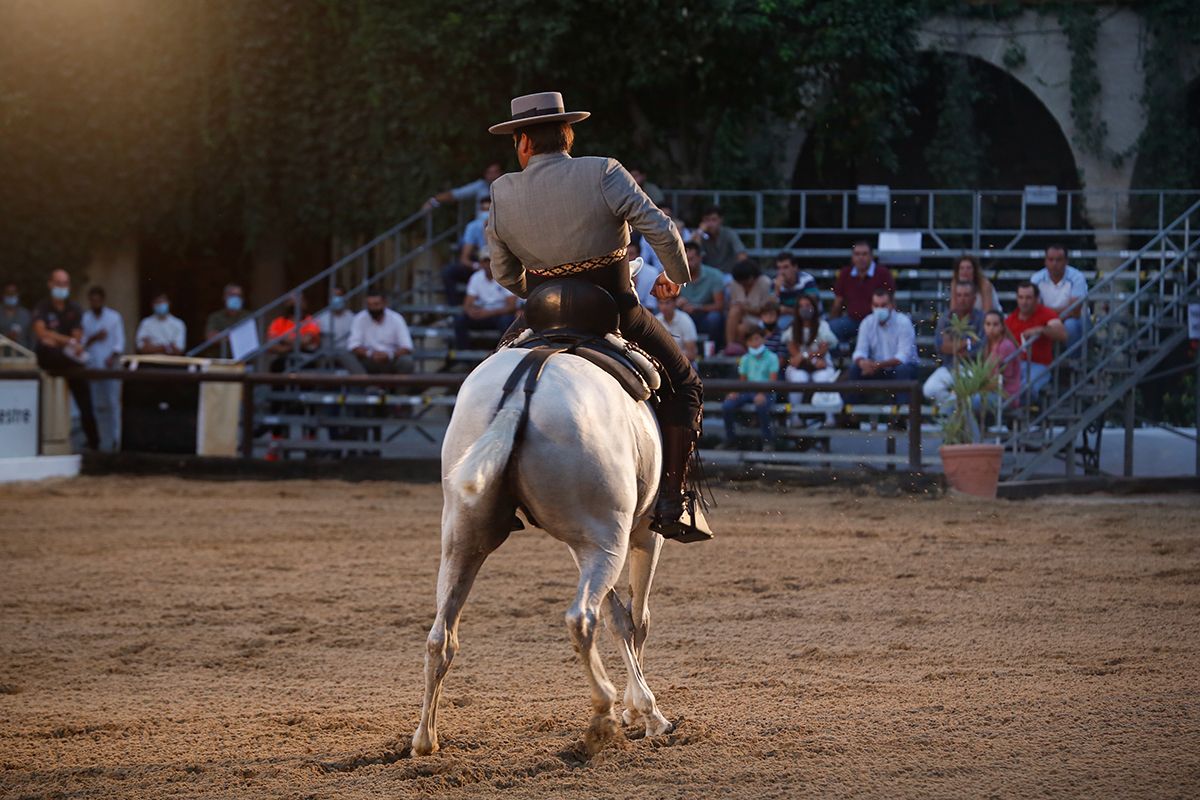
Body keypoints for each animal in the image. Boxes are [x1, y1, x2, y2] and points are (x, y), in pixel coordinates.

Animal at [412, 347, 676, 753]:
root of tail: (526, 381)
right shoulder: (645, 533)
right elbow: (637, 618)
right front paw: (645, 713)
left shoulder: (581, 546)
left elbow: (618, 618)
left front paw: (638, 709)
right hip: (608, 543)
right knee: (582, 618)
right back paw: (603, 716)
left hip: (465, 540)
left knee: (441, 637)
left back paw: (425, 739)